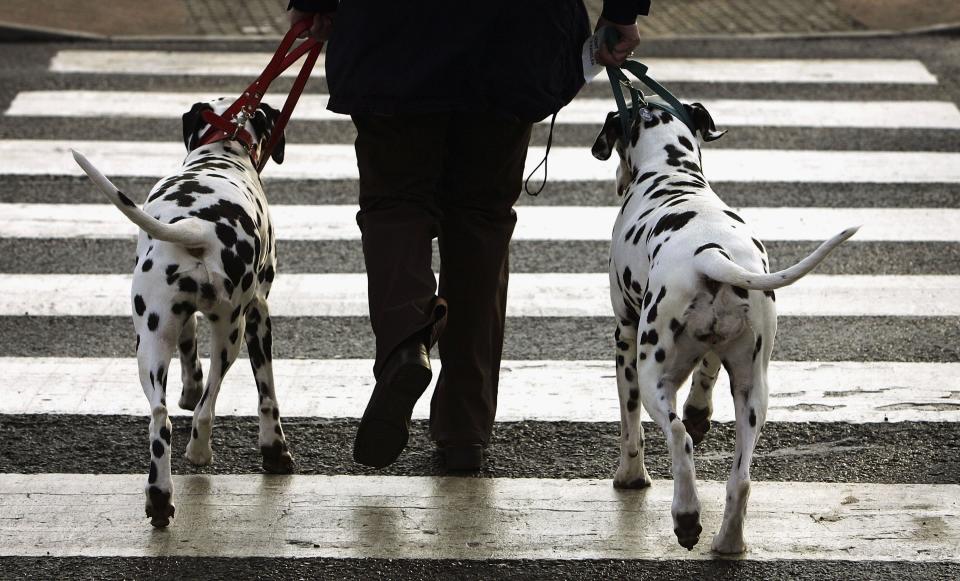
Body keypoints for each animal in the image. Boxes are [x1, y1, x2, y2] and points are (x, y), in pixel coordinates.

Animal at [72, 98, 292, 524]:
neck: (222, 150)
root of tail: (198, 228)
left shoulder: (182, 319)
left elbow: (189, 352)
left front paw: (189, 387)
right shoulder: (259, 313)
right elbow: (267, 392)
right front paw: (275, 448)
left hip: (151, 341)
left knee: (160, 420)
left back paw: (159, 497)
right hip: (230, 333)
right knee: (207, 408)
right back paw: (199, 453)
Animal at [592, 98, 856, 552]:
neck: (672, 174)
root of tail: (709, 252)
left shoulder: (624, 336)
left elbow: (630, 427)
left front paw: (630, 477)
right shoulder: (718, 353)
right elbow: (706, 375)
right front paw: (700, 412)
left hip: (653, 372)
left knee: (678, 439)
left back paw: (686, 518)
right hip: (753, 392)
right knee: (741, 478)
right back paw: (729, 542)